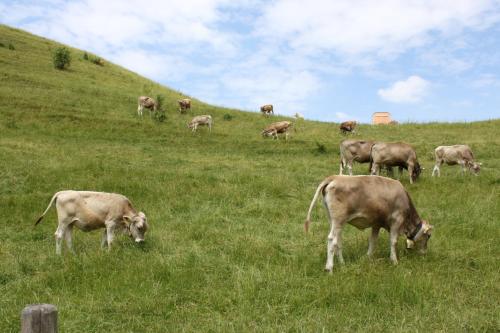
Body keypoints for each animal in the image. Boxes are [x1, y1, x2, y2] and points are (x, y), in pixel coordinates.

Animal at [304, 175, 434, 272]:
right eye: (428, 236)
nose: (424, 253)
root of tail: (335, 177)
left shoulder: (376, 224)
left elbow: (372, 241)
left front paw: (368, 257)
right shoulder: (396, 221)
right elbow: (393, 242)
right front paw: (394, 261)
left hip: (334, 221)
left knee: (338, 241)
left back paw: (342, 263)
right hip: (338, 220)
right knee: (331, 239)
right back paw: (329, 268)